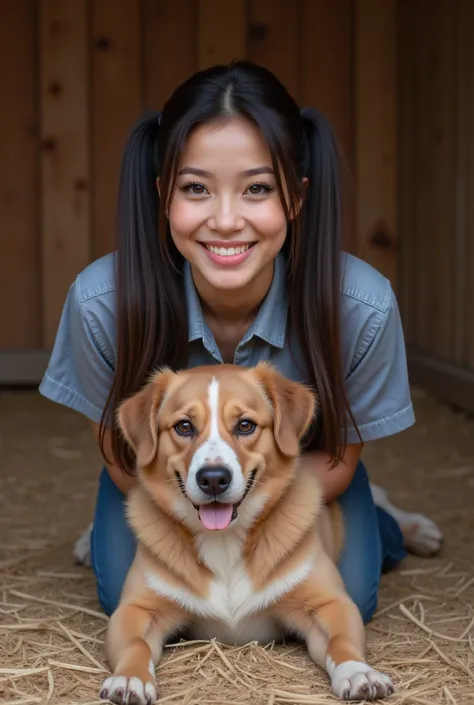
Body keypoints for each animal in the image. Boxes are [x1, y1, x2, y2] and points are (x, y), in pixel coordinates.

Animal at [98, 364, 394, 704]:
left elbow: (341, 641)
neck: (224, 540)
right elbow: (136, 645)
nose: (213, 479)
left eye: (245, 425)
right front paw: (130, 677)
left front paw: (358, 672)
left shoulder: (329, 603)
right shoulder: (135, 609)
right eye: (184, 426)